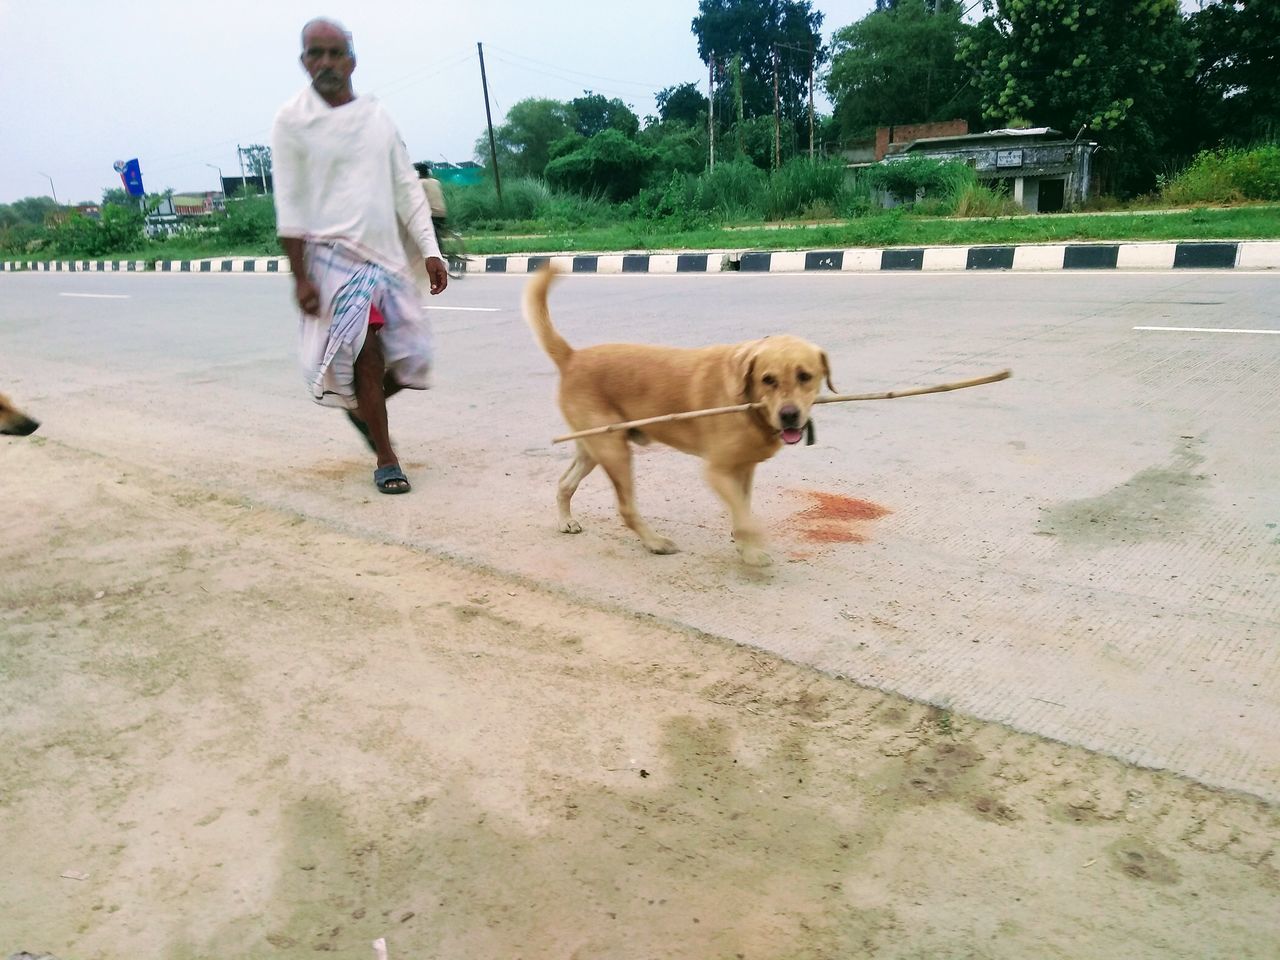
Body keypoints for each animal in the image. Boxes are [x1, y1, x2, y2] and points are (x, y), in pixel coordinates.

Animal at [519, 267, 829, 568]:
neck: (747, 400)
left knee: (565, 483)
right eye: (768, 379)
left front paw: (745, 545)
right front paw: (752, 549)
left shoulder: (744, 469)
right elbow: (744, 517)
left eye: (805, 376)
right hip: (614, 452)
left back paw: (566, 520)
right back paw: (654, 542)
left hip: (593, 449)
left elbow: (742, 510)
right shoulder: (717, 471)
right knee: (626, 508)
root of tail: (572, 357)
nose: (789, 415)